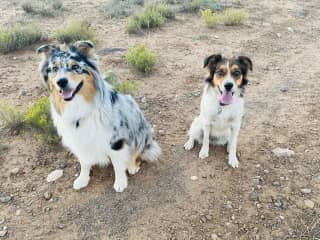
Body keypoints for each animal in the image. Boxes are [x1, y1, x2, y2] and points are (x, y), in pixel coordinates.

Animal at [37, 41, 160, 191]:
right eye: (54, 68)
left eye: (75, 67)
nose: (61, 82)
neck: (78, 106)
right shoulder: (79, 141)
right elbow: (84, 162)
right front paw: (82, 179)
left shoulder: (115, 140)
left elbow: (118, 164)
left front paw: (120, 182)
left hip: (139, 132)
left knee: (135, 153)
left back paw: (132, 166)